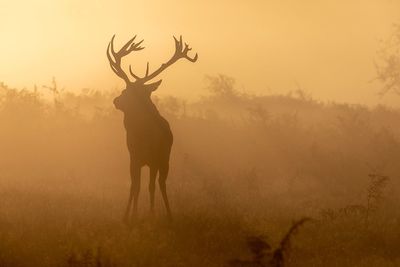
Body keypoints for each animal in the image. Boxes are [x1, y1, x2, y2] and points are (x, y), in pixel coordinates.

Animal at [107, 35, 198, 224]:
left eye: (127, 91)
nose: (116, 100)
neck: (142, 134)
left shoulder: (154, 158)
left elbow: (149, 186)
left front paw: (149, 214)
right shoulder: (134, 157)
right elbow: (135, 186)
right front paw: (128, 215)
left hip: (164, 160)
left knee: (160, 184)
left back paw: (167, 214)